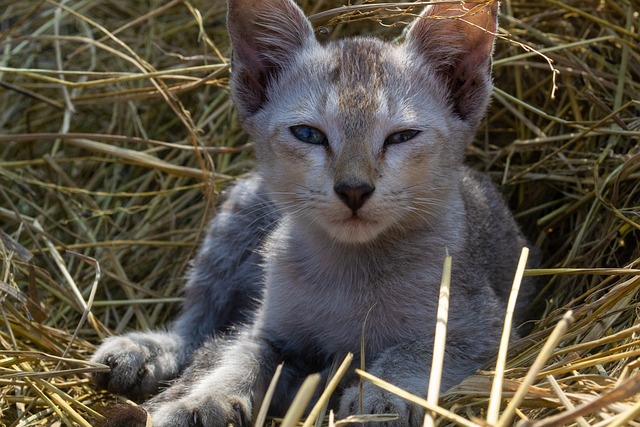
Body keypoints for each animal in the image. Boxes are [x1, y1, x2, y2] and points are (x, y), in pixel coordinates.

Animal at [92, 1, 536, 426]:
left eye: (402, 137)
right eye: (308, 134)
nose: (354, 188)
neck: (350, 268)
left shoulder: (486, 329)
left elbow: (416, 352)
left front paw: (381, 401)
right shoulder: (267, 331)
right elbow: (238, 354)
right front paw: (201, 399)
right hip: (236, 222)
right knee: (198, 324)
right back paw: (145, 350)